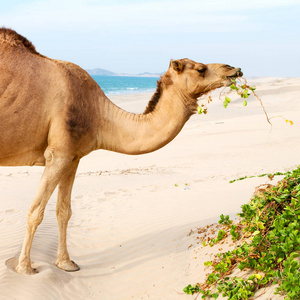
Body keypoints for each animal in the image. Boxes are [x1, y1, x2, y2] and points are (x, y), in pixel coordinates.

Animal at [0, 28, 243, 274]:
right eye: (201, 68)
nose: (234, 69)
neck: (97, 113)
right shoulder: (58, 154)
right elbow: (36, 212)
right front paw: (25, 267)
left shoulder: (72, 156)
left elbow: (63, 211)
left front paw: (66, 263)